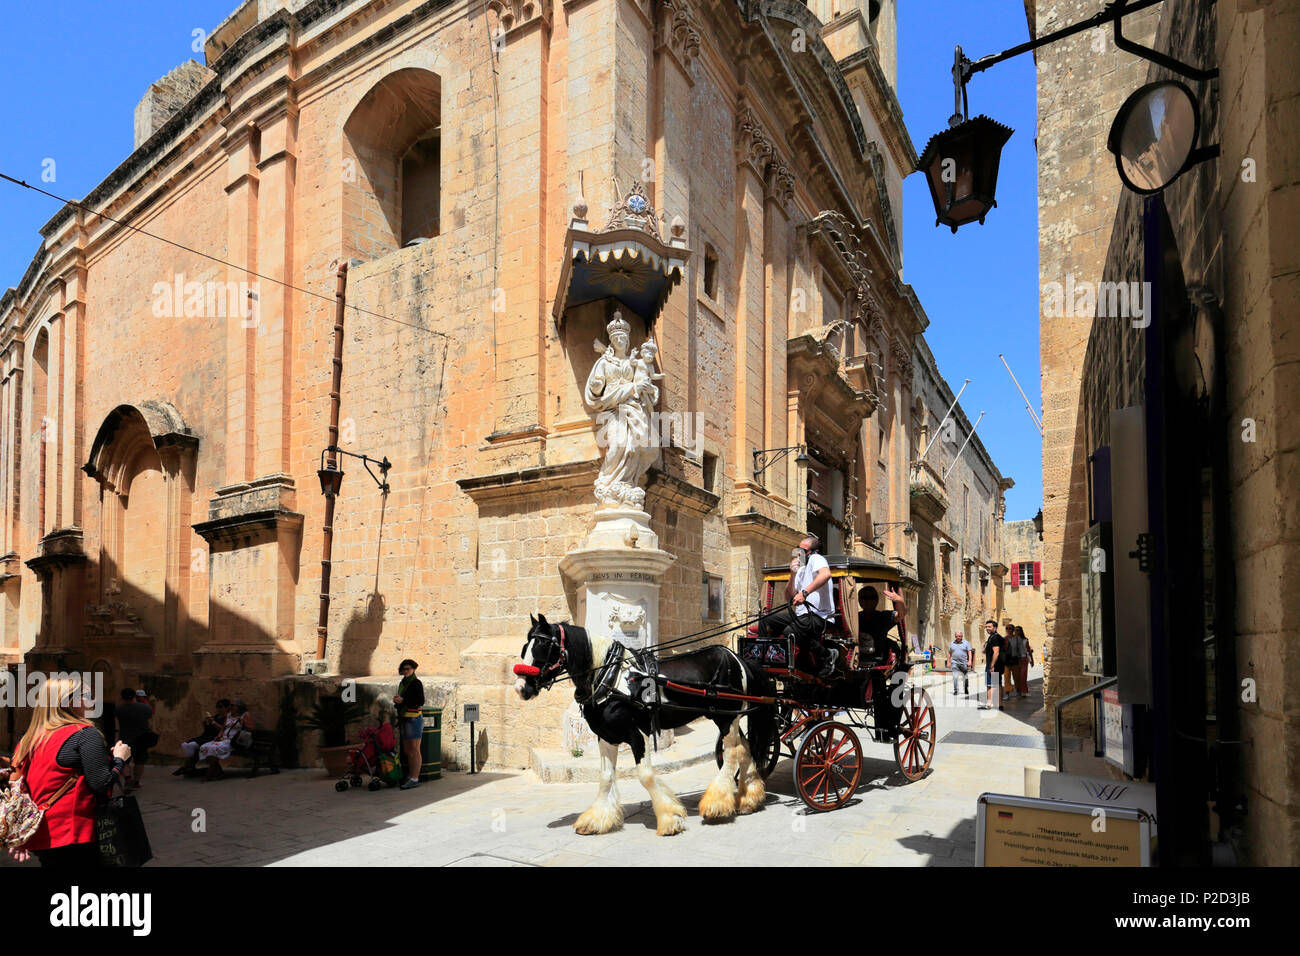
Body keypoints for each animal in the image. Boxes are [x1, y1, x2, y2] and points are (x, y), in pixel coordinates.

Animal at [512, 616, 774, 832]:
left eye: (544, 647)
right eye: (525, 647)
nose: (521, 688)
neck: (610, 678)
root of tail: (737, 658)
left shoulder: (638, 734)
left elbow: (646, 775)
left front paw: (670, 818)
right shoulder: (606, 736)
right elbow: (605, 776)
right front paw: (597, 819)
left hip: (726, 718)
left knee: (732, 753)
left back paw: (716, 803)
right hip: (729, 717)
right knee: (745, 748)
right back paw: (748, 799)